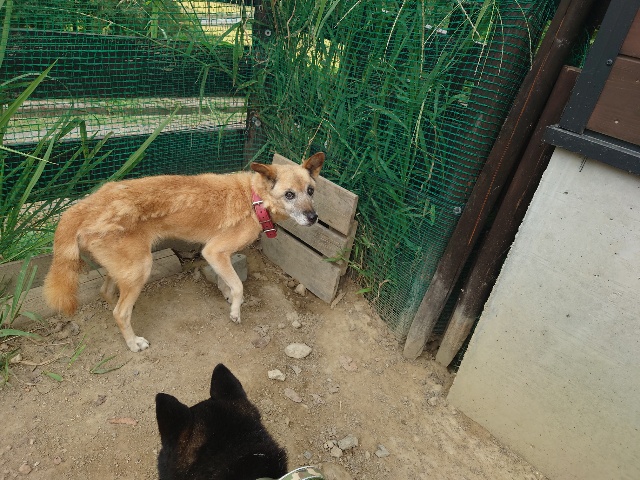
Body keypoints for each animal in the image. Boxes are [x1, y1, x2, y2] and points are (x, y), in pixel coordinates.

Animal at [43, 152, 325, 352]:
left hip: (126, 267)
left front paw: (226, 295)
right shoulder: (215, 251)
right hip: (140, 267)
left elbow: (227, 281)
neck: (254, 198)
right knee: (119, 313)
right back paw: (133, 342)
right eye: (289, 194)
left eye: (311, 191)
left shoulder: (216, 255)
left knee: (108, 294)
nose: (313, 218)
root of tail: (83, 206)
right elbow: (238, 286)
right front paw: (235, 311)